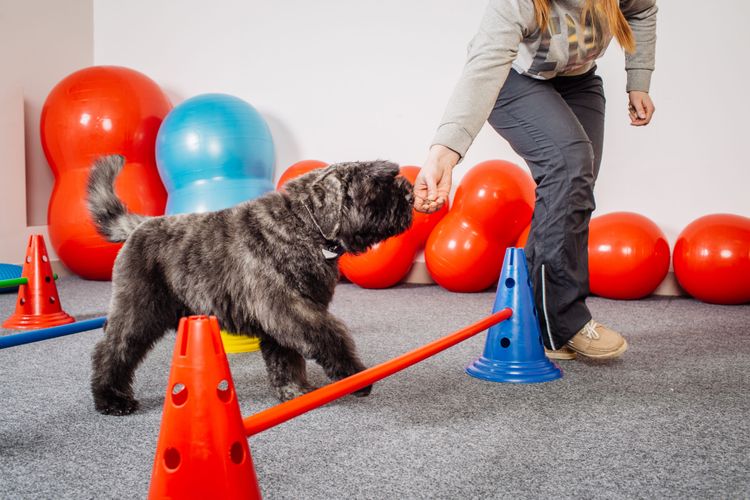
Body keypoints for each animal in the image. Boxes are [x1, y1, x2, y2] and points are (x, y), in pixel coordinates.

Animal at [89, 154, 418, 416]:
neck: (303, 225)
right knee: (112, 350)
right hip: (137, 311)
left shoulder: (282, 319)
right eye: (376, 185)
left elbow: (285, 358)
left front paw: (293, 391)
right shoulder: (290, 309)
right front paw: (354, 375)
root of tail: (139, 226)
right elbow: (330, 337)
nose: (410, 195)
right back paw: (112, 399)